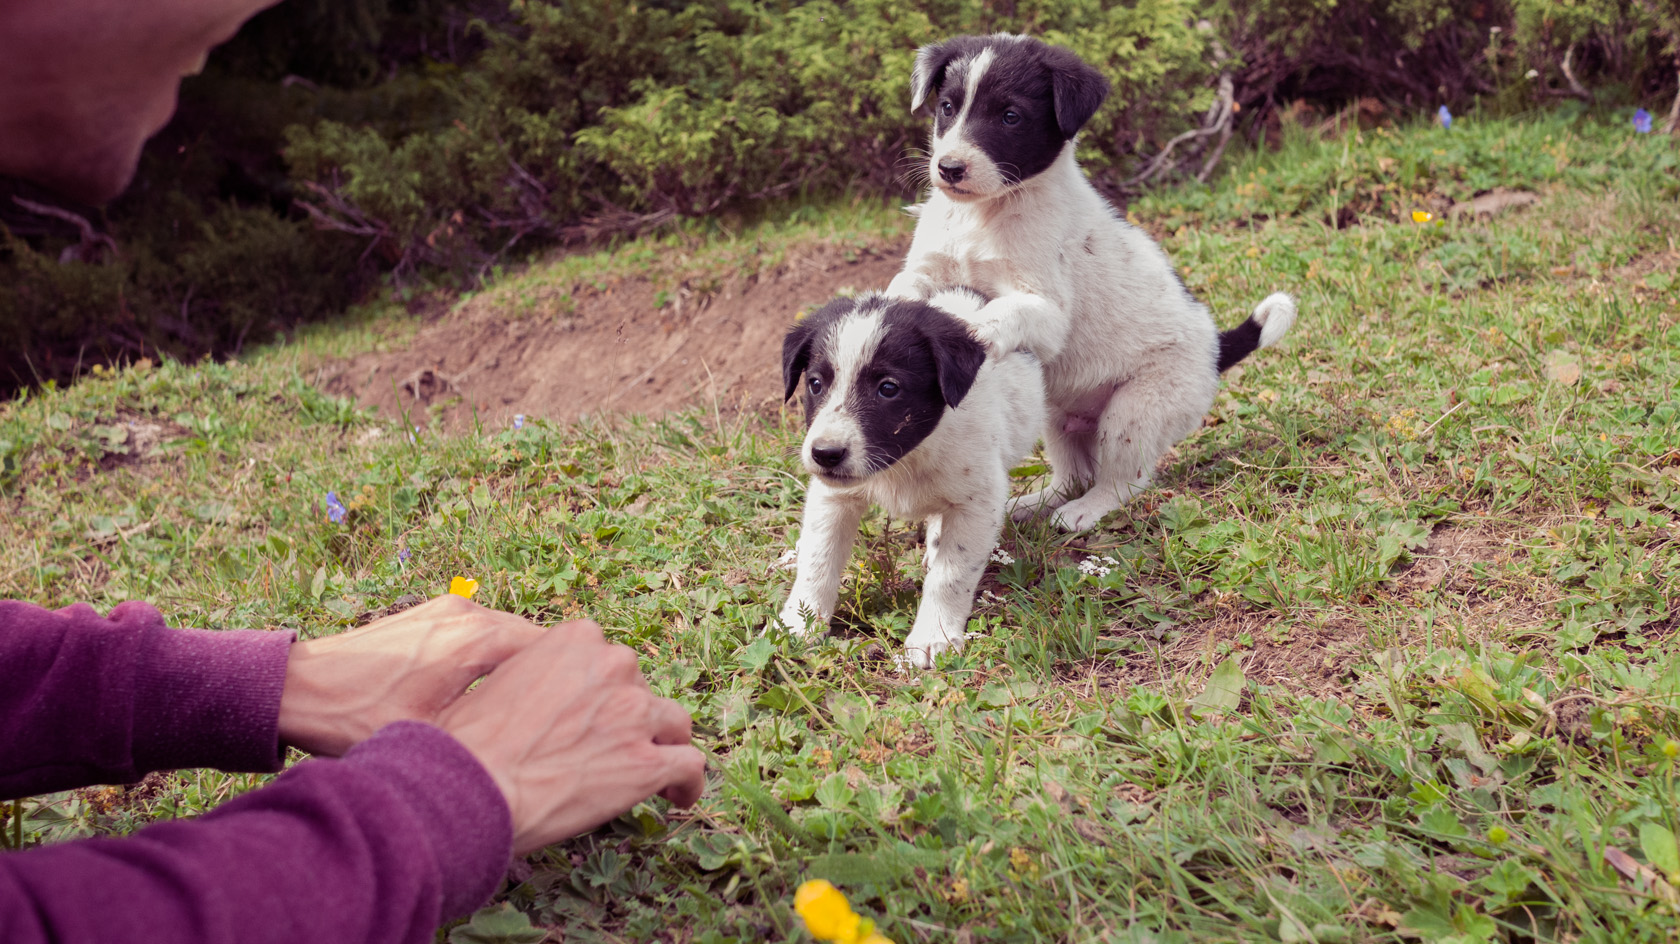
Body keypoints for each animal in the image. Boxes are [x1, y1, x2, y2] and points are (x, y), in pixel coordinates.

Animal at [776, 290, 1041, 665]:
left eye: (888, 388)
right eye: (815, 384)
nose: (825, 454)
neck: (909, 457)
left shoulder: (978, 501)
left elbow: (951, 574)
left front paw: (934, 635)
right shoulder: (832, 498)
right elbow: (818, 560)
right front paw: (799, 623)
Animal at [893, 33, 1296, 534]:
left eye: (1010, 116)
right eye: (947, 107)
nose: (949, 168)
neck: (985, 214)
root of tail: (1217, 350)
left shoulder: (1047, 312)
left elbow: (1005, 310)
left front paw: (978, 330)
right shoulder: (930, 267)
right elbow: (907, 283)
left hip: (1135, 412)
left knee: (1122, 481)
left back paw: (1083, 512)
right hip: (1058, 416)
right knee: (1074, 474)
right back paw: (1033, 504)